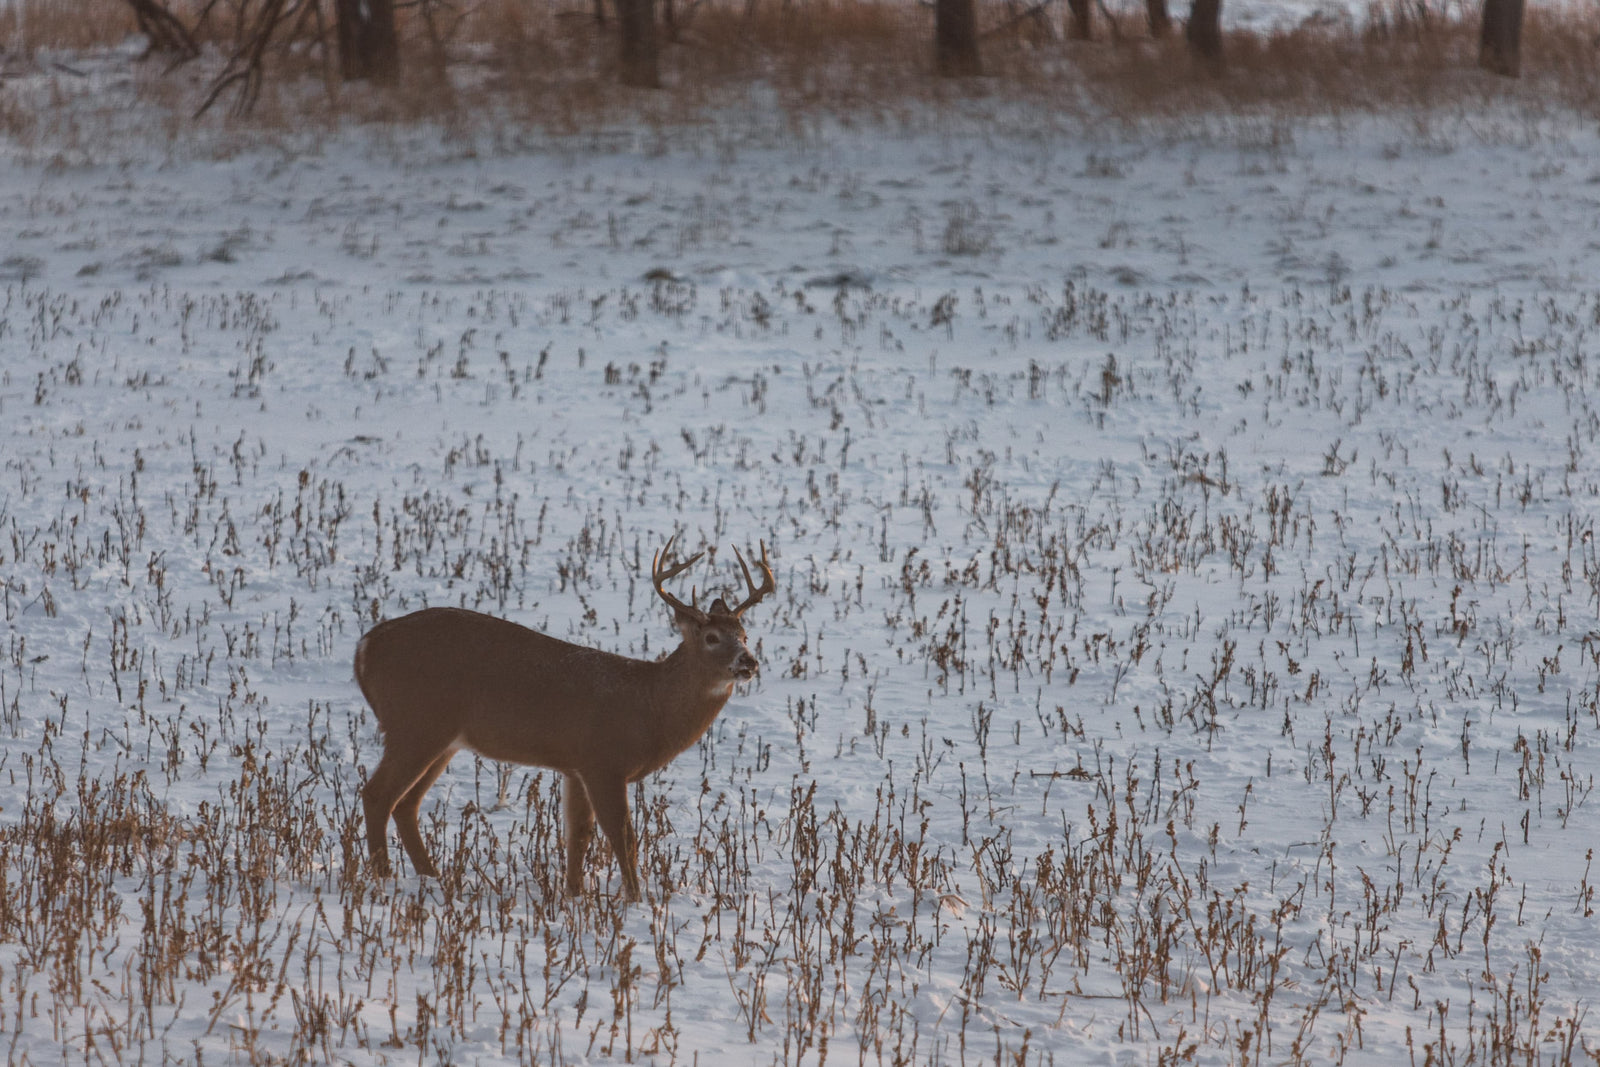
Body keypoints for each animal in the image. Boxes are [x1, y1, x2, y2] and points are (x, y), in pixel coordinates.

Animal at [355, 534, 774, 902]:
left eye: (745, 634)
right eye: (711, 638)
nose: (749, 662)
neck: (650, 709)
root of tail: (365, 647)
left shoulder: (575, 767)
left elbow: (578, 834)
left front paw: (574, 895)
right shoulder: (604, 762)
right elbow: (623, 837)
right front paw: (637, 901)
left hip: (441, 737)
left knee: (406, 804)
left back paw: (432, 878)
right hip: (415, 723)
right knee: (377, 795)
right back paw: (383, 879)